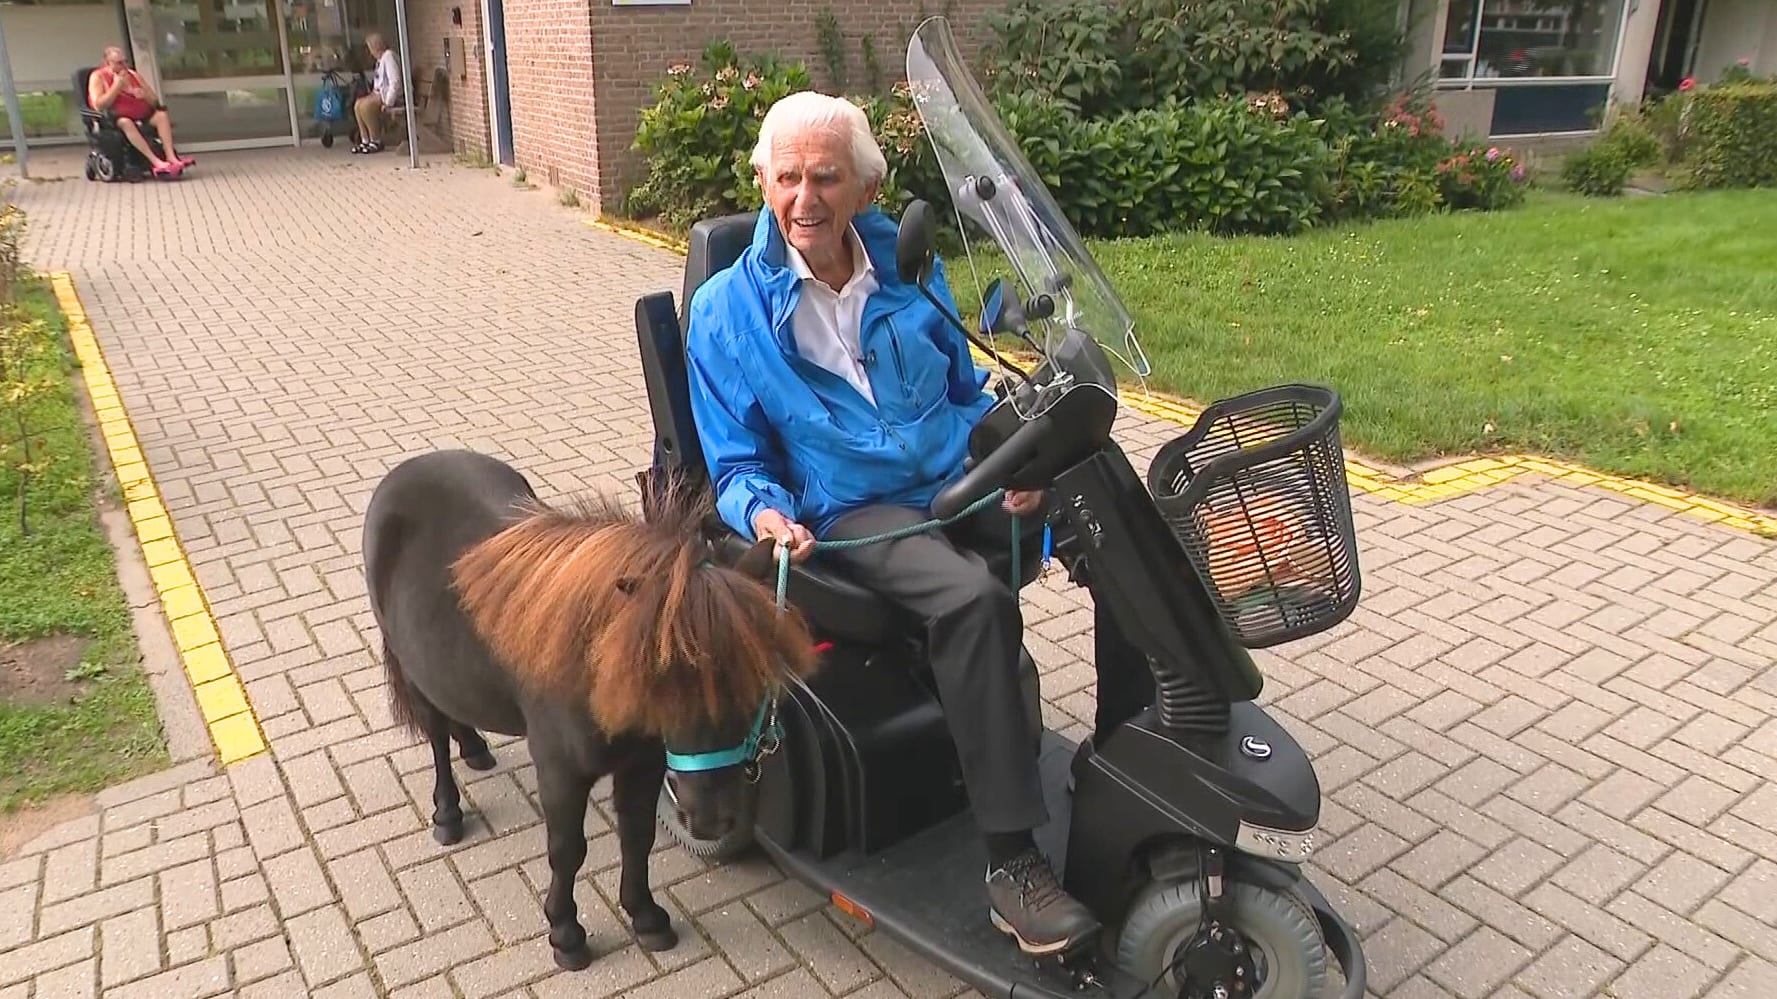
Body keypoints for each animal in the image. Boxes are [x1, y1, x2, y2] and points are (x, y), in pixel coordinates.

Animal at [362, 449, 819, 971]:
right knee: (436, 735)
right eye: (662, 672)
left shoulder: (643, 765)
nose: (710, 820)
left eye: (755, 677)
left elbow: (637, 835)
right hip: (412, 666)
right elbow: (567, 850)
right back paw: (448, 814)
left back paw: (475, 748)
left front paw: (646, 916)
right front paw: (566, 934)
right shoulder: (561, 771)